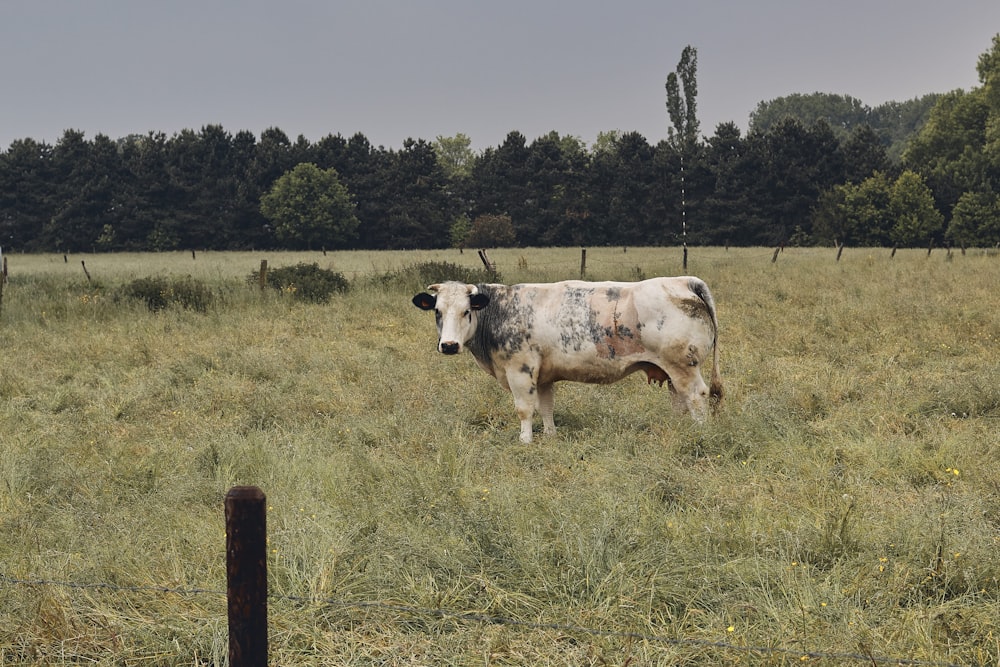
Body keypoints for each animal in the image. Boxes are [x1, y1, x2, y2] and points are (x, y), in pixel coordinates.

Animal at [410, 276, 724, 444]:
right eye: (437, 311)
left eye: (466, 311)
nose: (449, 345)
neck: (500, 310)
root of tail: (683, 281)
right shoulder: (544, 376)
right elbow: (546, 407)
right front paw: (550, 436)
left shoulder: (520, 370)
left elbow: (524, 409)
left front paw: (525, 441)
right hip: (671, 370)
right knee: (680, 400)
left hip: (684, 366)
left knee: (696, 396)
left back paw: (699, 433)